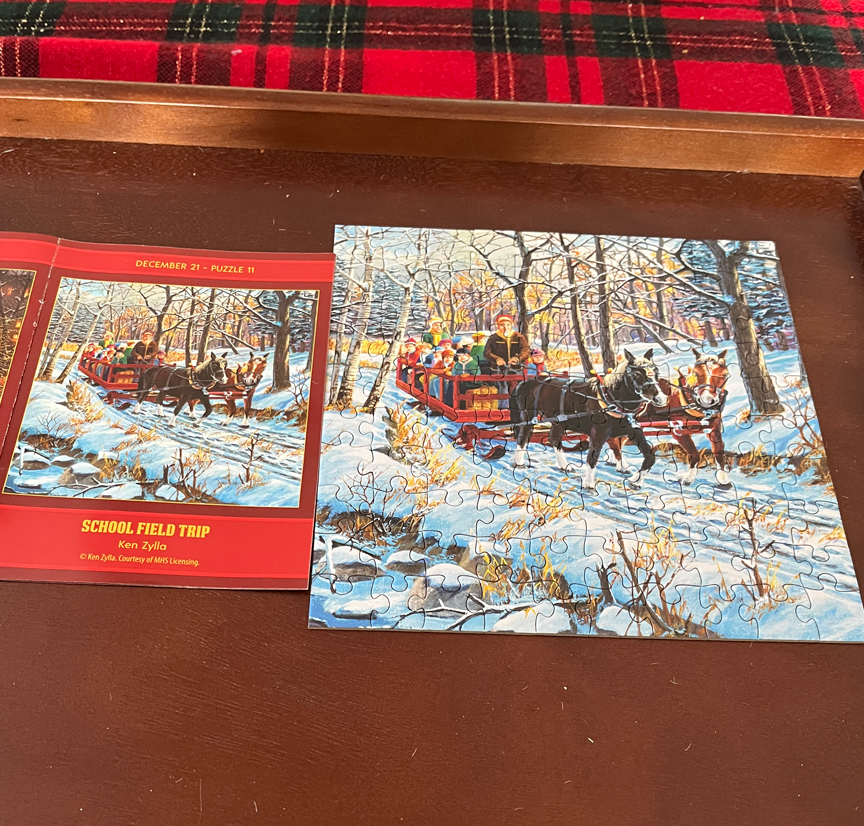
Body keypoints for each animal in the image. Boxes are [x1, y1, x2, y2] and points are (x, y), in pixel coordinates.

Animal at [509, 349, 668, 490]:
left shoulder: (632, 430)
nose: (661, 398)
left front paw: (635, 481)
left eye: (657, 372)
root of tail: (524, 382)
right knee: (523, 437)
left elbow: (649, 456)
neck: (611, 399)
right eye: (636, 374)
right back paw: (519, 462)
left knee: (553, 439)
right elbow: (593, 458)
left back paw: (564, 466)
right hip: (529, 417)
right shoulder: (598, 434)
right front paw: (589, 484)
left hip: (559, 422)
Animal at [607, 348, 731, 487]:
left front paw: (723, 479)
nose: (707, 400)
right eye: (696, 373)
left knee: (618, 441)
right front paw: (688, 478)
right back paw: (620, 464)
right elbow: (695, 454)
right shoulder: (679, 432)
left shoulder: (714, 429)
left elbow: (719, 454)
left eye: (725, 375)